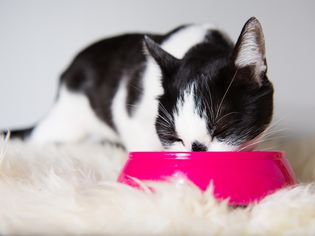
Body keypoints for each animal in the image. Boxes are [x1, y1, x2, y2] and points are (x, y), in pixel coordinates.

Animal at [3, 17, 274, 152]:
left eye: (223, 129)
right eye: (174, 137)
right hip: (67, 122)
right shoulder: (129, 113)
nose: (196, 148)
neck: (200, 47)